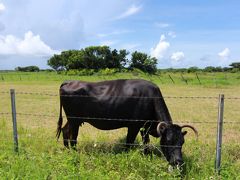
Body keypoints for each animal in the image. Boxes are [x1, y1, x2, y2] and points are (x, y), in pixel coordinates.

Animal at [57, 79, 198, 167]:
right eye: (167, 142)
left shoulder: (145, 127)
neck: (151, 98)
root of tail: (70, 81)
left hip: (73, 120)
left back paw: (67, 150)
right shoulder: (133, 126)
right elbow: (128, 143)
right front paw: (126, 157)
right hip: (74, 120)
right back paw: (74, 153)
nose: (178, 162)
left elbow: (146, 143)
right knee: (73, 137)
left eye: (182, 142)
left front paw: (147, 156)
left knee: (65, 130)